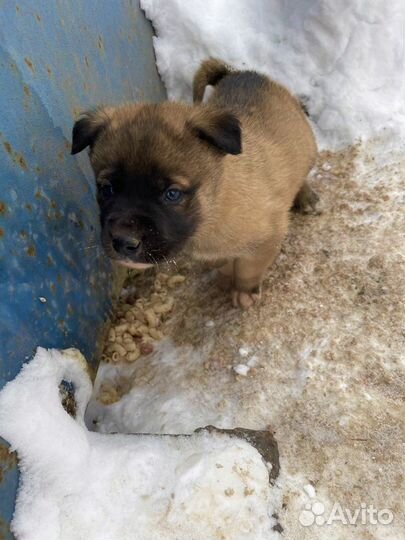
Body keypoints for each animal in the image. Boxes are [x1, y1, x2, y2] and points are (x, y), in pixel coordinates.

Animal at [72, 58, 318, 308]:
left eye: (172, 194)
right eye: (107, 189)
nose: (123, 242)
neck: (213, 209)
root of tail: (242, 73)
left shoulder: (267, 238)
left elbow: (248, 269)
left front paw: (244, 291)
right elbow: (224, 263)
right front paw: (224, 276)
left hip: (307, 149)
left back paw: (306, 196)